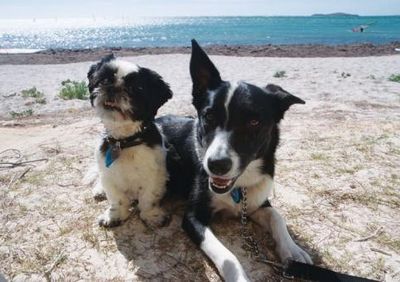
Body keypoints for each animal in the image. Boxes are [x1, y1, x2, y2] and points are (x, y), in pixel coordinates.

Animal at [88, 54, 172, 228]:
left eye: (134, 89)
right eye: (104, 80)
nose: (112, 87)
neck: (124, 142)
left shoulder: (155, 176)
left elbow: (148, 199)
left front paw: (152, 216)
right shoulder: (109, 176)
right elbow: (117, 200)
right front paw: (114, 216)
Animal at [156, 40, 312, 280]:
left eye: (254, 122)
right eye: (209, 116)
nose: (217, 165)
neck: (240, 187)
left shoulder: (257, 203)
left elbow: (277, 216)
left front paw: (293, 251)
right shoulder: (192, 217)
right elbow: (227, 256)